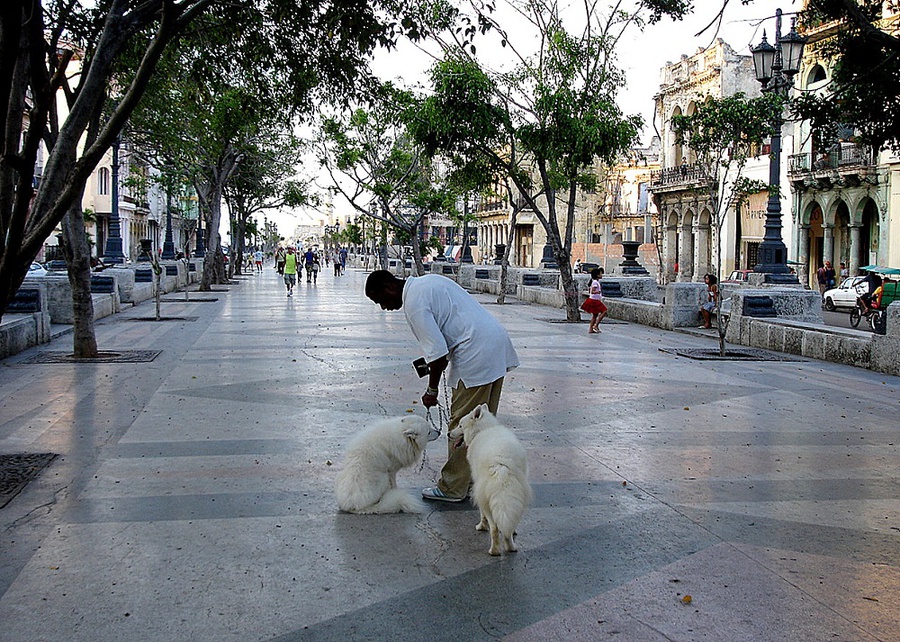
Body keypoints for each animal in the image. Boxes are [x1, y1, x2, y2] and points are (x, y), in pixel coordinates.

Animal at [448, 402, 532, 552]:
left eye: (460, 426)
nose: (448, 433)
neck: (484, 429)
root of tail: (501, 464)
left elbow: (482, 515)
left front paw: (482, 526)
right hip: (521, 494)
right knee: (507, 525)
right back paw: (511, 546)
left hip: (484, 497)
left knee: (494, 528)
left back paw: (494, 550)